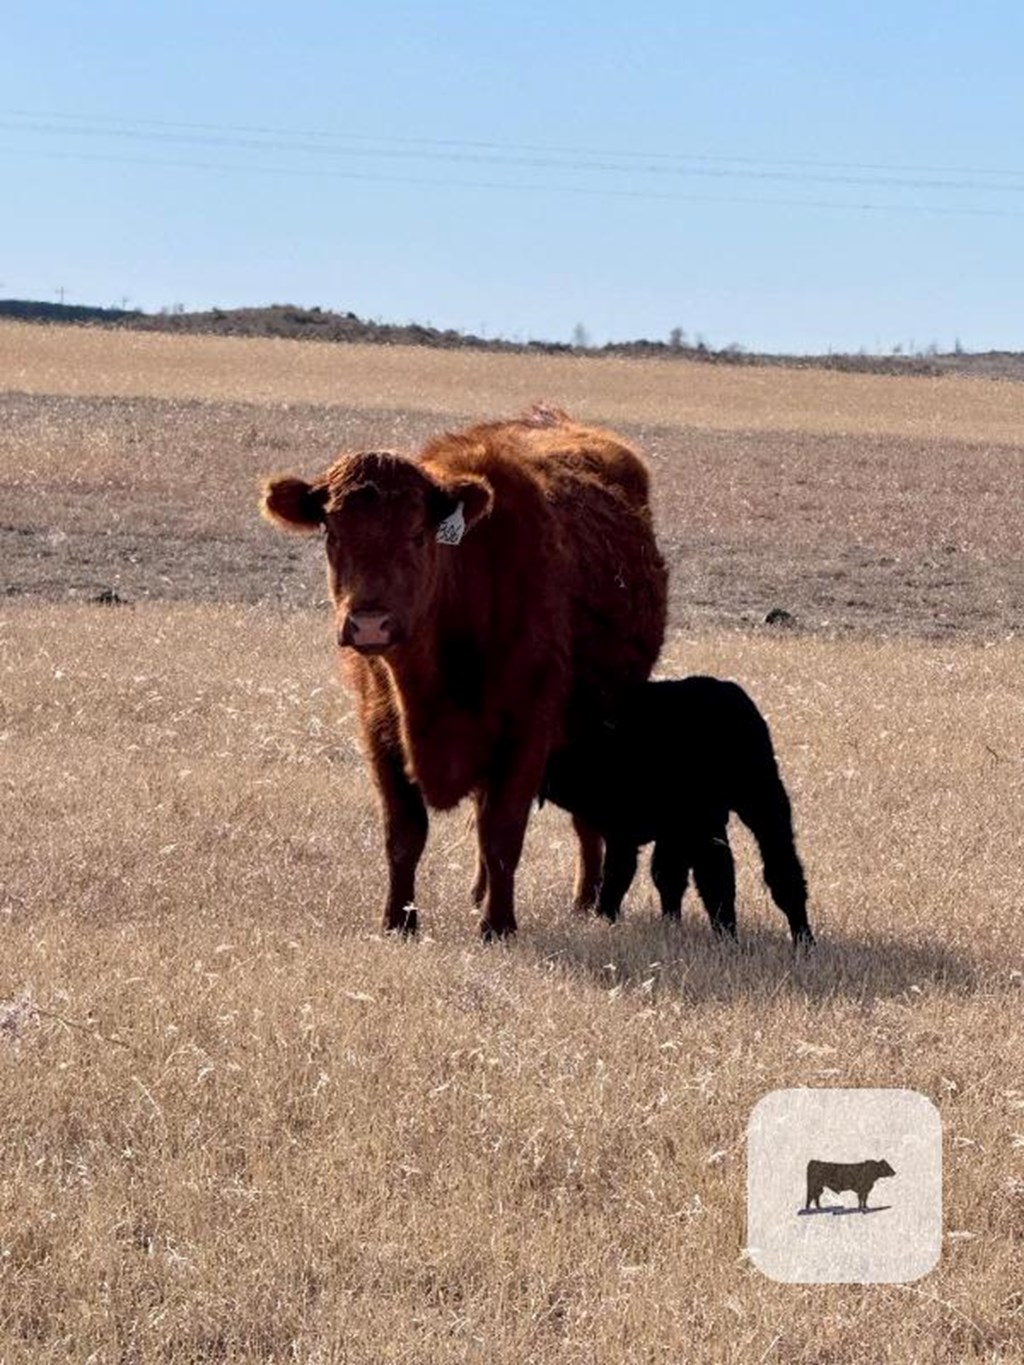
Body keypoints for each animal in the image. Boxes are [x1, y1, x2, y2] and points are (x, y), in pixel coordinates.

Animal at [260, 404, 669, 939]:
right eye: (332, 533)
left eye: (417, 534)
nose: (369, 622)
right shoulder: (379, 731)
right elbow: (404, 836)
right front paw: (399, 922)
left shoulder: (527, 732)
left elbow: (503, 833)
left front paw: (499, 925)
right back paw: (480, 893)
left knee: (586, 819)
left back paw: (587, 899)